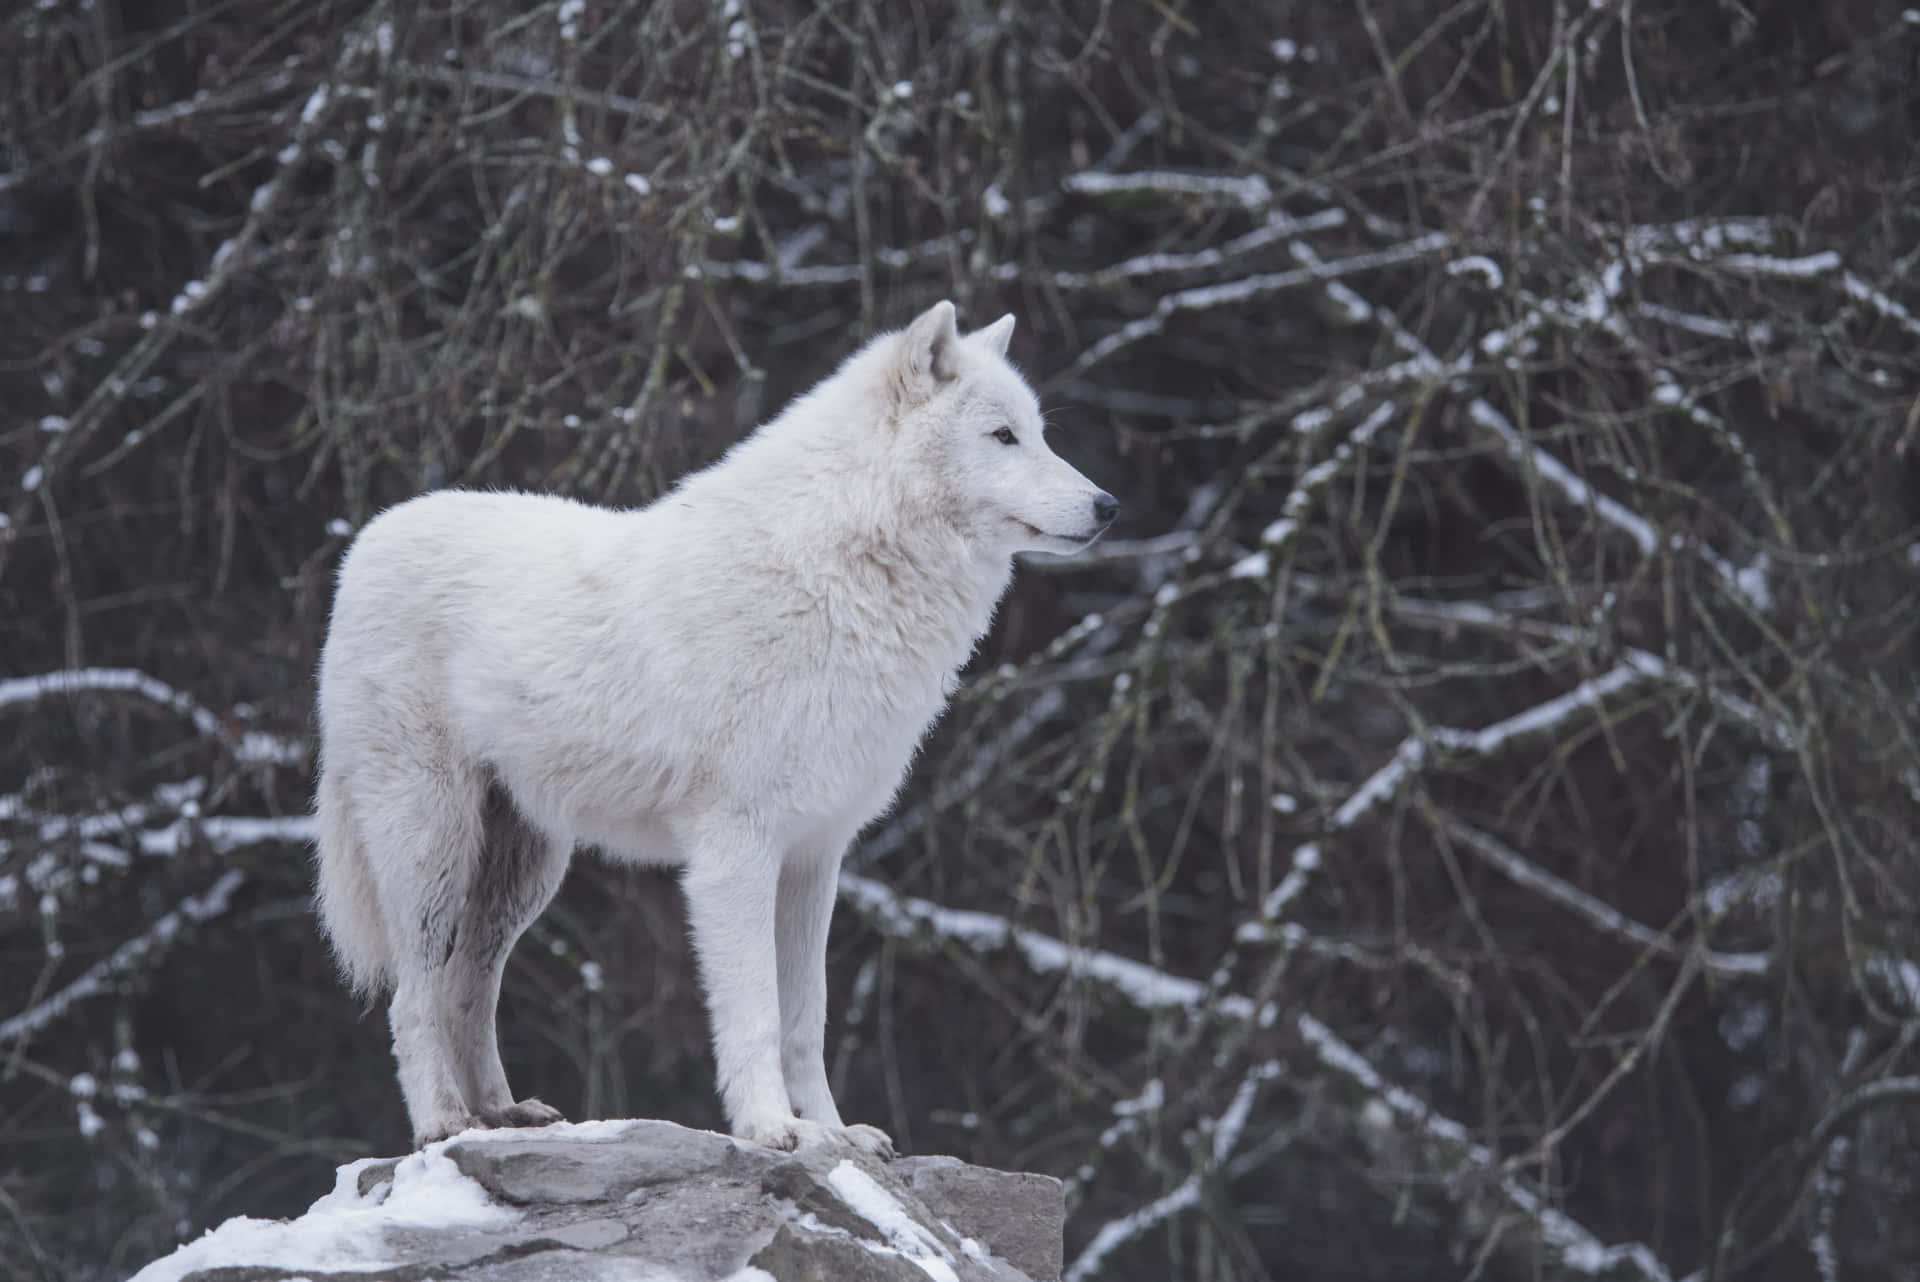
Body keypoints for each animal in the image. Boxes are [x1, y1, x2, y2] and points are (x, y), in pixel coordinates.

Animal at [314, 297, 1121, 1151]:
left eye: (1040, 432)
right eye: (1003, 436)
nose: (1109, 507)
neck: (839, 574)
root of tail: (367, 539)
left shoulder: (816, 856)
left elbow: (806, 1018)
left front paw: (837, 1134)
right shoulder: (736, 850)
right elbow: (757, 1011)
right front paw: (772, 1128)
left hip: (526, 870)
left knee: (471, 986)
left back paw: (502, 1114)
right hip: (432, 848)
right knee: (414, 997)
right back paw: (443, 1122)